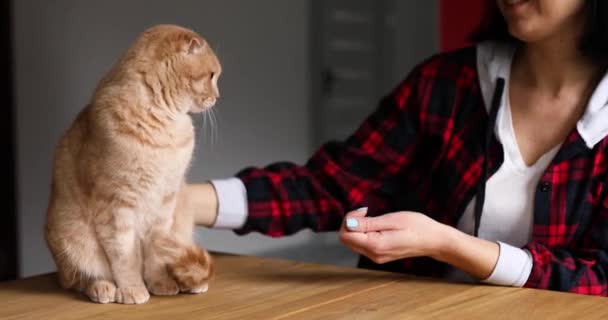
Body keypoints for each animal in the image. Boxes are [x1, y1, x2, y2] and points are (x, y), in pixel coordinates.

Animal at [44, 25, 221, 304]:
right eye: (212, 75)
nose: (217, 96)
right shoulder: (115, 204)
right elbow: (125, 256)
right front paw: (132, 288)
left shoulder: (166, 200)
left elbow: (157, 253)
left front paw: (161, 283)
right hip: (70, 237)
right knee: (77, 280)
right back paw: (103, 287)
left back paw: (190, 283)